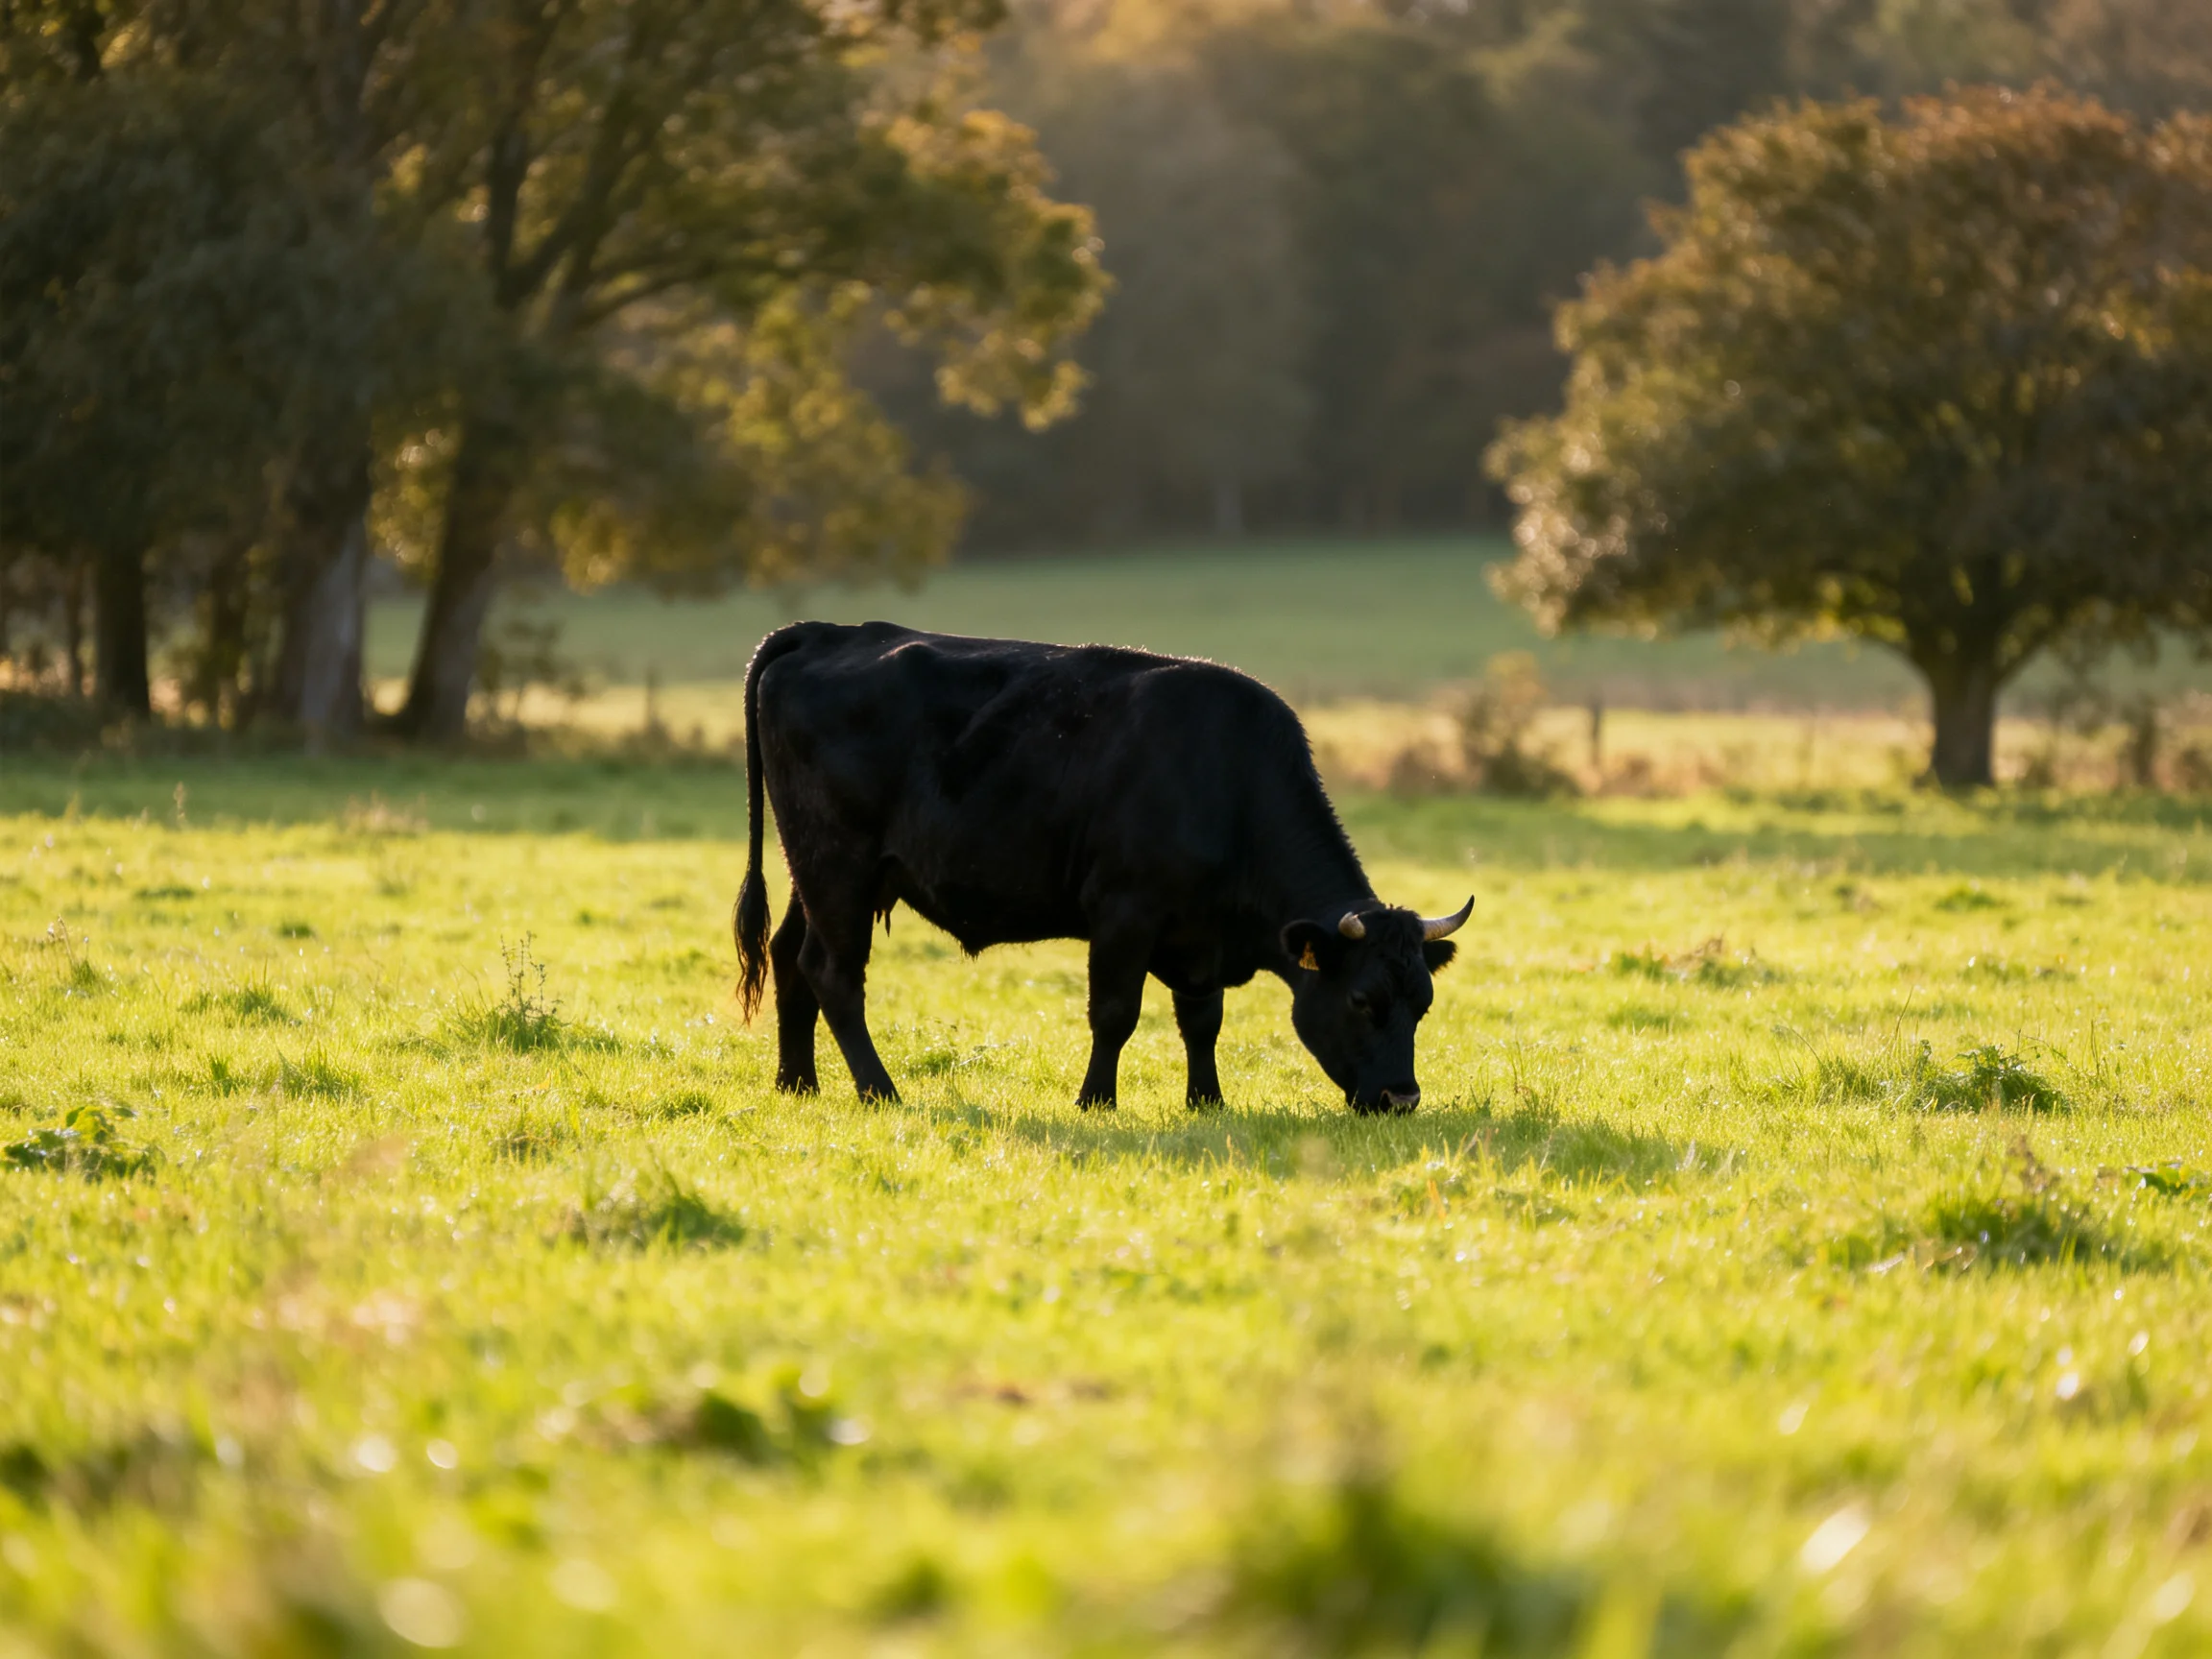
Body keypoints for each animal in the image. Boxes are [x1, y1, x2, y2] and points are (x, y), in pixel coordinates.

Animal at [732, 621, 1472, 1113]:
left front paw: (1207, 1102)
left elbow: (1202, 1020)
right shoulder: (1124, 912)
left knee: (791, 955)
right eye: (1361, 999)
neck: (1226, 781)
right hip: (838, 864)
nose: (1401, 1099)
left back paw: (796, 1084)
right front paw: (1096, 1101)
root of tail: (832, 633)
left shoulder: (1199, 938)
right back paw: (879, 1090)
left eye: (1423, 1004)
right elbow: (1116, 1013)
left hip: (819, 872)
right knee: (833, 974)